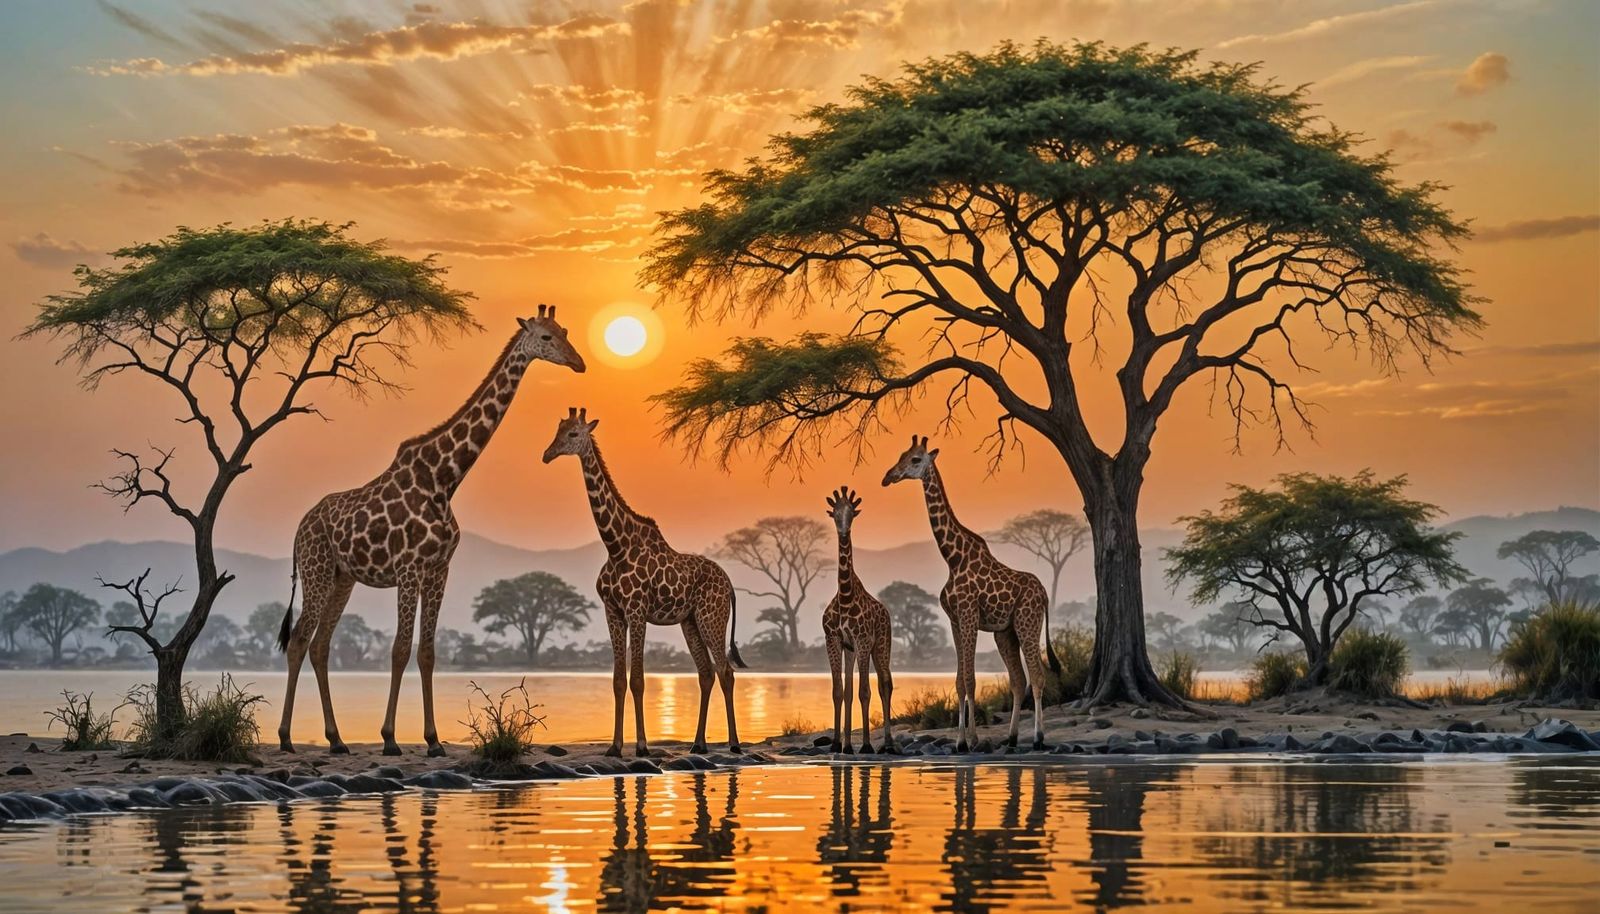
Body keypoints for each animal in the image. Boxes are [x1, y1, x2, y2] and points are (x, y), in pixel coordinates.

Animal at [276, 305, 585, 756]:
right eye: (546, 337)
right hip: (316, 571)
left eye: (565, 331)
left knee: (319, 645)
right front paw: (390, 738)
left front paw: (434, 740)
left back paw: (336, 740)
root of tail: (299, 526)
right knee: (299, 640)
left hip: (341, 578)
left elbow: (428, 653)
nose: (579, 363)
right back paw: (285, 737)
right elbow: (400, 649)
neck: (445, 478)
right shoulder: (408, 568)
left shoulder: (439, 569)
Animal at [542, 408, 746, 757]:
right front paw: (614, 747)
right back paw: (698, 744)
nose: (547, 454)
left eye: (573, 434)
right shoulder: (612, 612)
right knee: (706, 673)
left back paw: (733, 744)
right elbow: (618, 681)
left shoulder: (637, 611)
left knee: (726, 672)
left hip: (712, 617)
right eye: (558, 430)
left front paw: (641, 746)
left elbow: (638, 680)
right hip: (689, 621)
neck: (616, 546)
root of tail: (730, 583)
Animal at [822, 486, 895, 754]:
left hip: (881, 644)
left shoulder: (863, 640)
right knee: (850, 688)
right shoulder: (835, 640)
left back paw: (888, 743)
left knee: (885, 684)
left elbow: (865, 691)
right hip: (853, 649)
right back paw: (846, 744)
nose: (843, 531)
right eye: (835, 514)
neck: (845, 596)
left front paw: (865, 745)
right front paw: (837, 744)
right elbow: (840, 691)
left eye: (851, 514)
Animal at [882, 436, 1051, 751]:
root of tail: (1045, 595)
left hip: (1028, 623)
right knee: (1018, 679)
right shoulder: (955, 620)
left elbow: (972, 680)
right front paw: (960, 741)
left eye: (915, 459)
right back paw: (1011, 737)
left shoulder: (970, 615)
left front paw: (972, 739)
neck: (953, 557)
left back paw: (1038, 738)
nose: (889, 477)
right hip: (1005, 632)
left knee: (1037, 676)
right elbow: (960, 681)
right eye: (900, 454)